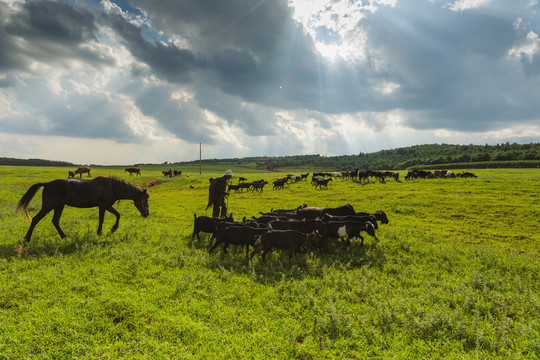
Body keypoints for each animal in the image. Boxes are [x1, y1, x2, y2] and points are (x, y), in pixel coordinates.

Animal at [15, 176, 150, 243]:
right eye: (145, 199)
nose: (147, 214)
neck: (112, 187)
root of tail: (47, 183)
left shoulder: (108, 206)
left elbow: (118, 215)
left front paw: (113, 229)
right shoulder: (103, 205)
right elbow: (101, 219)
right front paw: (100, 232)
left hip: (59, 206)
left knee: (55, 221)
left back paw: (64, 236)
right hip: (49, 206)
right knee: (36, 219)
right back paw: (27, 238)